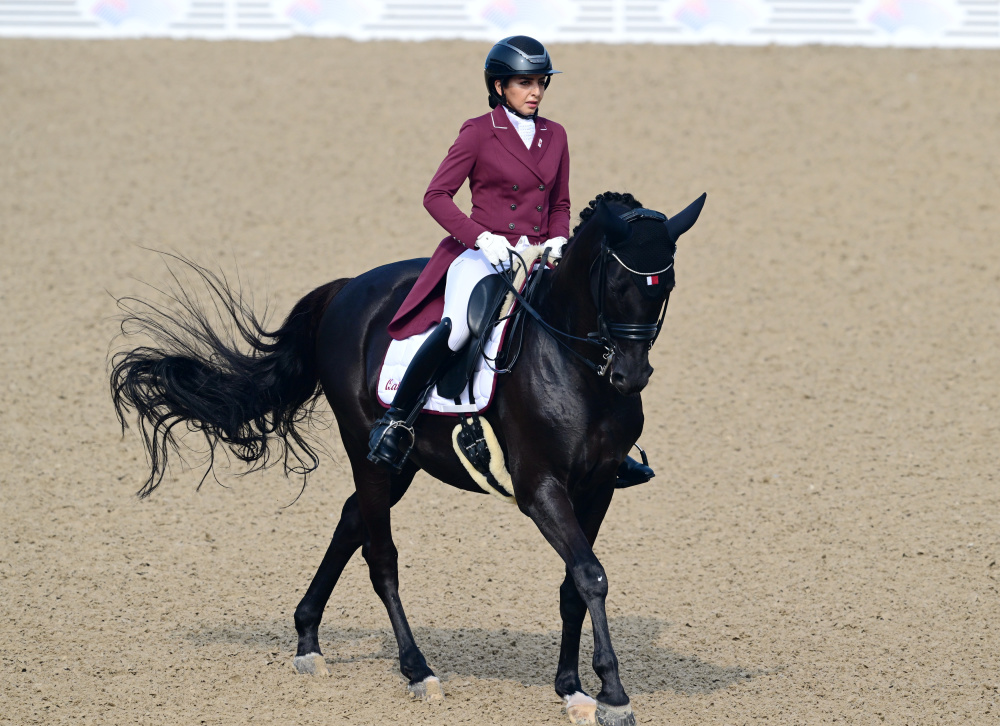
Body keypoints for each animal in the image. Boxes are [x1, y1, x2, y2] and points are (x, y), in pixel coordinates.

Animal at [107, 191, 704, 724]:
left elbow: (575, 584)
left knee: (351, 520)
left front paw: (572, 688)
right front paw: (613, 693)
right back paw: (417, 670)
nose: (630, 376)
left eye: (668, 285)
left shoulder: (597, 487)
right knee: (381, 557)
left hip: (404, 463)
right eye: (619, 283)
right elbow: (589, 574)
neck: (577, 367)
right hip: (369, 450)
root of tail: (348, 289)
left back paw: (308, 640)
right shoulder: (540, 488)